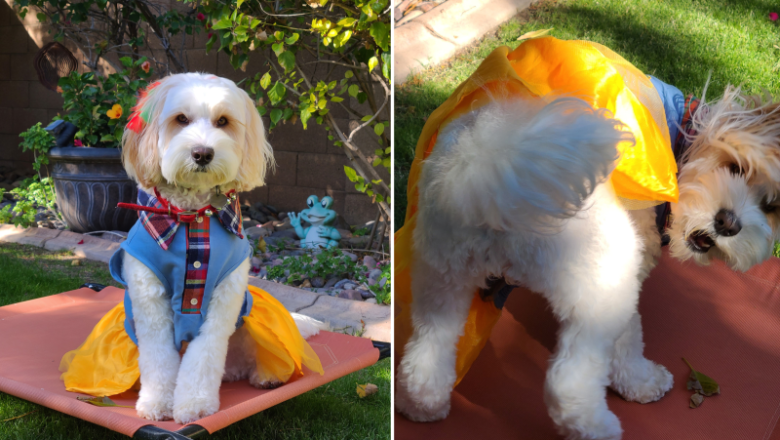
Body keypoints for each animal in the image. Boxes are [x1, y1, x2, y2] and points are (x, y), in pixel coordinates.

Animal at [118, 72, 322, 422]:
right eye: (180, 119)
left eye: (223, 121)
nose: (202, 153)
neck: (192, 215)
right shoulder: (150, 302)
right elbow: (158, 358)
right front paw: (157, 403)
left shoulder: (224, 299)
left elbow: (204, 355)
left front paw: (195, 404)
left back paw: (267, 375)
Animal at [400, 87, 780, 438]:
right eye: (736, 167)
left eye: (771, 206)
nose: (728, 223)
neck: (683, 130)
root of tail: (490, 157)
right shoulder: (629, 267)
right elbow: (628, 340)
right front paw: (641, 382)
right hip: (606, 275)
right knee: (567, 384)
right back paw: (598, 427)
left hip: (443, 273)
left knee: (427, 353)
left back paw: (422, 405)